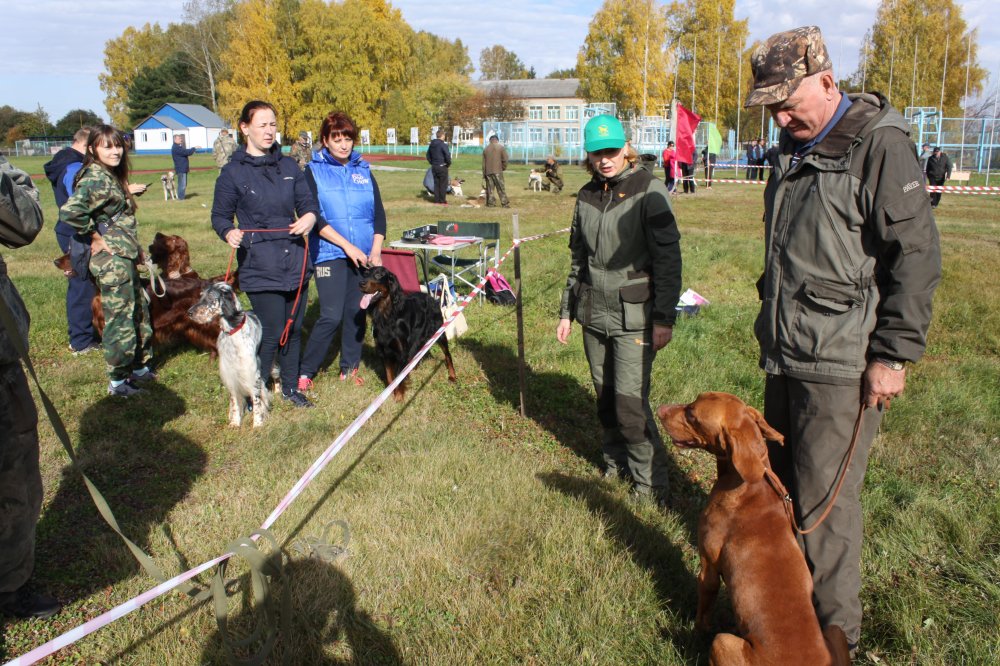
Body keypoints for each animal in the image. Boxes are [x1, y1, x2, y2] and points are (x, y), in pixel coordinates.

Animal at [188, 283, 270, 427]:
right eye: (201, 296)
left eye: (210, 297)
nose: (189, 313)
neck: (232, 332)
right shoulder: (230, 375)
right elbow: (235, 401)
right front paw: (235, 423)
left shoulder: (252, 374)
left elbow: (257, 401)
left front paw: (258, 423)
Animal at [358, 266, 456, 401]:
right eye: (365, 273)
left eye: (378, 275)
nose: (361, 283)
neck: (386, 313)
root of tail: (431, 297)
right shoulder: (384, 351)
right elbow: (390, 376)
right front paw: (390, 394)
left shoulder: (401, 352)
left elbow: (398, 378)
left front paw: (399, 397)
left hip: (439, 333)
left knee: (447, 355)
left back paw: (452, 375)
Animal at [656, 392, 850, 666]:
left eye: (692, 414)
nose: (660, 409)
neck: (751, 483)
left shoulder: (708, 566)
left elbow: (703, 613)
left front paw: (694, 634)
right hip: (834, 631)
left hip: (723, 641)